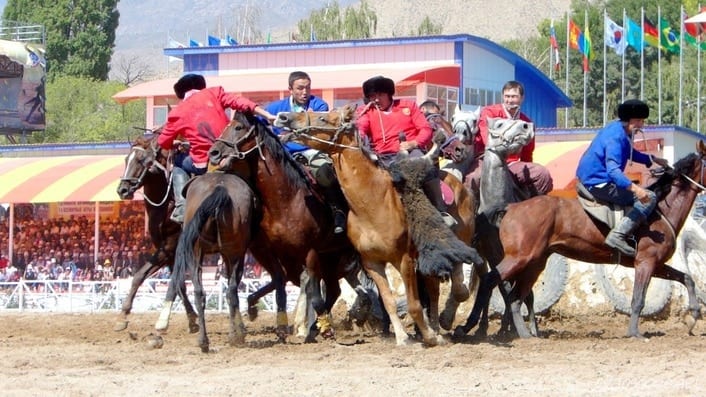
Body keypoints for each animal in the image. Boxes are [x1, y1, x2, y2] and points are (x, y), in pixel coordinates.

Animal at [115, 134, 198, 334]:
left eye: (141, 160)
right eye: (126, 160)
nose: (122, 190)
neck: (167, 204)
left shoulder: (170, 246)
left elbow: (140, 275)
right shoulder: (167, 251)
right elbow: (179, 284)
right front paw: (192, 319)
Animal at [206, 110, 364, 340]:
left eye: (238, 127)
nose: (214, 152)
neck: (285, 200)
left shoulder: (309, 252)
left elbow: (313, 294)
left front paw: (324, 327)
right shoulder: (269, 251)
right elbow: (280, 283)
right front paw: (262, 312)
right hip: (331, 256)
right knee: (333, 289)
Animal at [456, 139, 704, 338]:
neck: (660, 210)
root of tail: (511, 207)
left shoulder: (656, 263)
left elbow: (687, 278)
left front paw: (693, 316)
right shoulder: (645, 262)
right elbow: (638, 299)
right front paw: (634, 333)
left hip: (534, 262)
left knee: (516, 296)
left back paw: (525, 334)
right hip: (520, 258)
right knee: (492, 282)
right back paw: (470, 326)